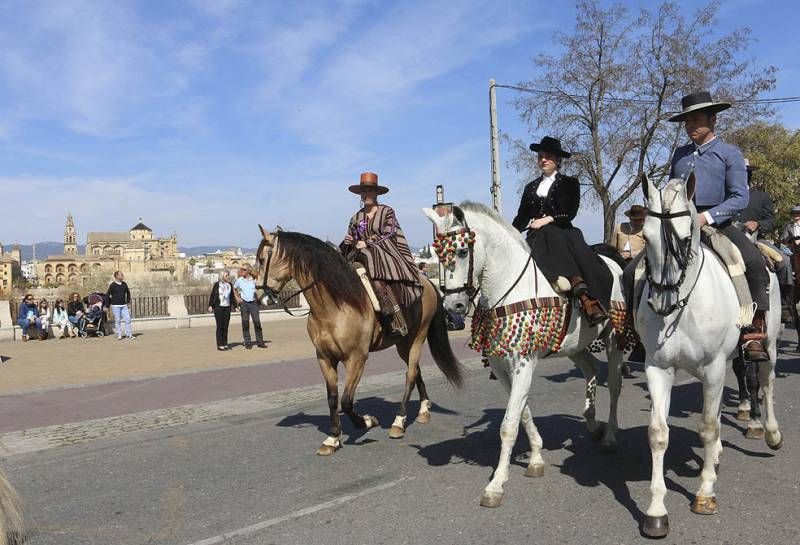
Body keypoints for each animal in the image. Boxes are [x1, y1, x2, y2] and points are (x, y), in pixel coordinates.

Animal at [250, 225, 462, 454]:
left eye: (261, 259)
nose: (258, 296)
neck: (334, 307)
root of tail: (428, 283)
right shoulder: (324, 358)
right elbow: (333, 398)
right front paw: (333, 438)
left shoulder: (357, 359)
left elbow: (346, 401)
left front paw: (366, 421)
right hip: (402, 343)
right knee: (416, 372)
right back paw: (423, 409)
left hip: (417, 337)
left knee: (410, 374)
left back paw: (398, 421)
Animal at [422, 202, 628, 508]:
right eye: (437, 253)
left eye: (461, 251)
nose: (453, 307)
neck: (510, 289)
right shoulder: (504, 368)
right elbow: (522, 413)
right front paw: (536, 458)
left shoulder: (523, 364)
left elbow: (509, 424)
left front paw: (496, 485)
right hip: (575, 346)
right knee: (590, 370)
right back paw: (592, 424)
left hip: (613, 339)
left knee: (614, 385)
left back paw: (611, 437)